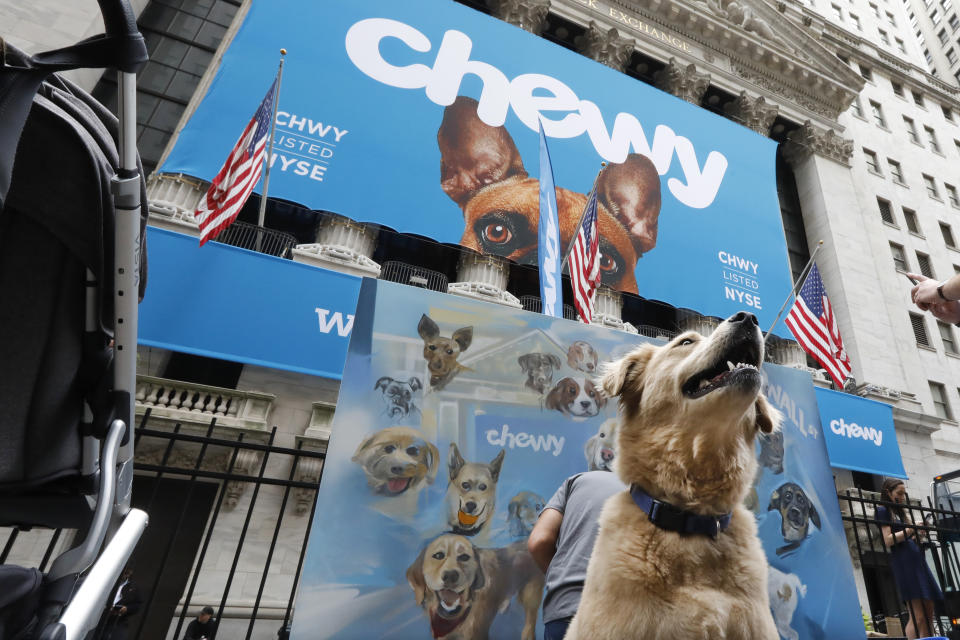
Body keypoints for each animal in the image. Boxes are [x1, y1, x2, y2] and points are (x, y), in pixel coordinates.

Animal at [404, 536, 544, 640]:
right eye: (438, 556)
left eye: (464, 557)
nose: (450, 575)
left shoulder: (476, 634)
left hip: (531, 597)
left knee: (530, 622)